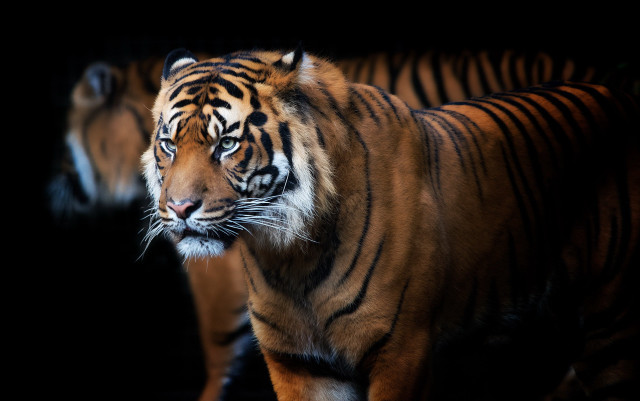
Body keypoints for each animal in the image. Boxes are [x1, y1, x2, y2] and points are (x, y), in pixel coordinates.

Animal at [142, 46, 640, 400]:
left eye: (226, 143)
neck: (290, 257)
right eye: (168, 144)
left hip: (612, 324)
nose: (180, 208)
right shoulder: (300, 365)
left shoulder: (401, 352)